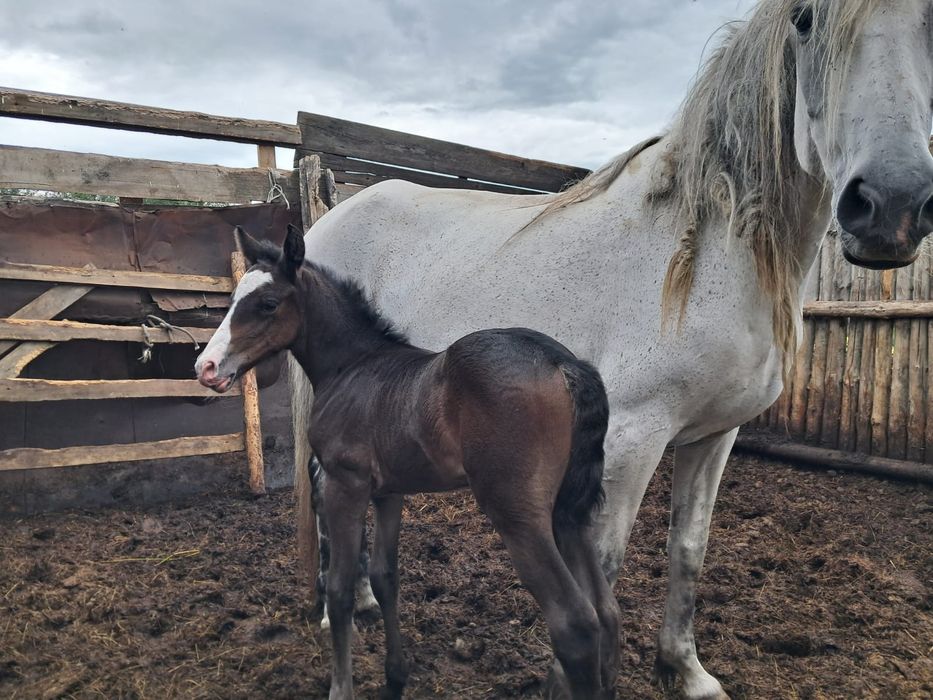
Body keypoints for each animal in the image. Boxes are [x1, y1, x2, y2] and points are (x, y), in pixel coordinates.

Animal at [195, 224, 622, 700]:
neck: (351, 367)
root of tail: (562, 362)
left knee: (575, 623)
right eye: (233, 301)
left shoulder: (345, 484)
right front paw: (395, 678)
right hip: (569, 511)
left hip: (518, 514)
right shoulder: (389, 492)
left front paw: (341, 687)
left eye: (267, 304)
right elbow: (386, 578)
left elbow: (341, 589)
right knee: (607, 610)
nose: (206, 367)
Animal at [290, 1, 933, 697]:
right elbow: (602, 565)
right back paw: (332, 610)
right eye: (806, 20)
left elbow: (689, 550)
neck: (701, 254)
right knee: (324, 492)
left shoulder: (715, 436)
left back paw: (362, 602)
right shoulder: (631, 438)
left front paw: (685, 669)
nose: (892, 206)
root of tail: (330, 216)